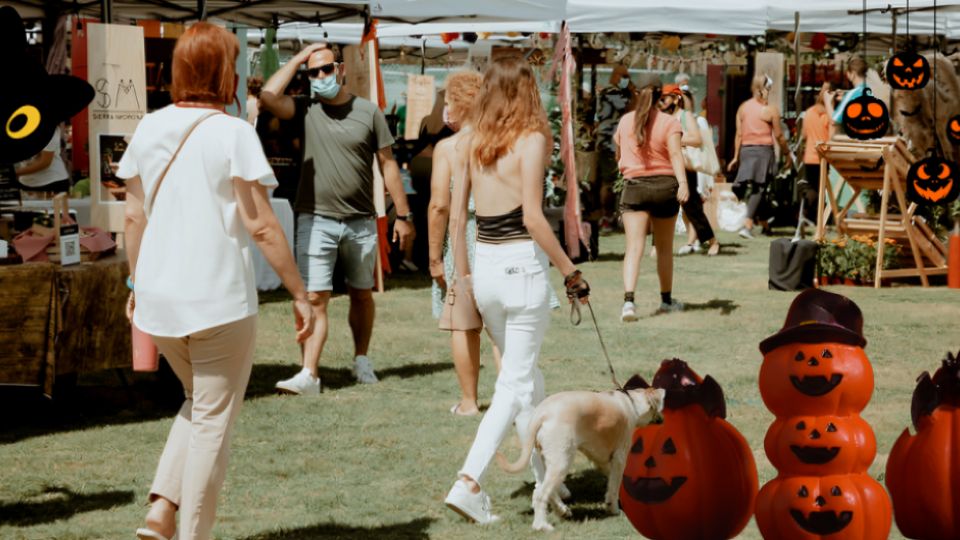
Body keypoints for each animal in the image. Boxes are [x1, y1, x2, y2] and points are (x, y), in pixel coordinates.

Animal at [496, 376, 668, 532]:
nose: (662, 420)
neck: (631, 402)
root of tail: (541, 413)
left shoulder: (603, 460)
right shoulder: (619, 457)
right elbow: (614, 487)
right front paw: (614, 509)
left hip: (549, 459)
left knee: (544, 490)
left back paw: (562, 510)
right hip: (562, 461)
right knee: (540, 495)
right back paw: (542, 525)